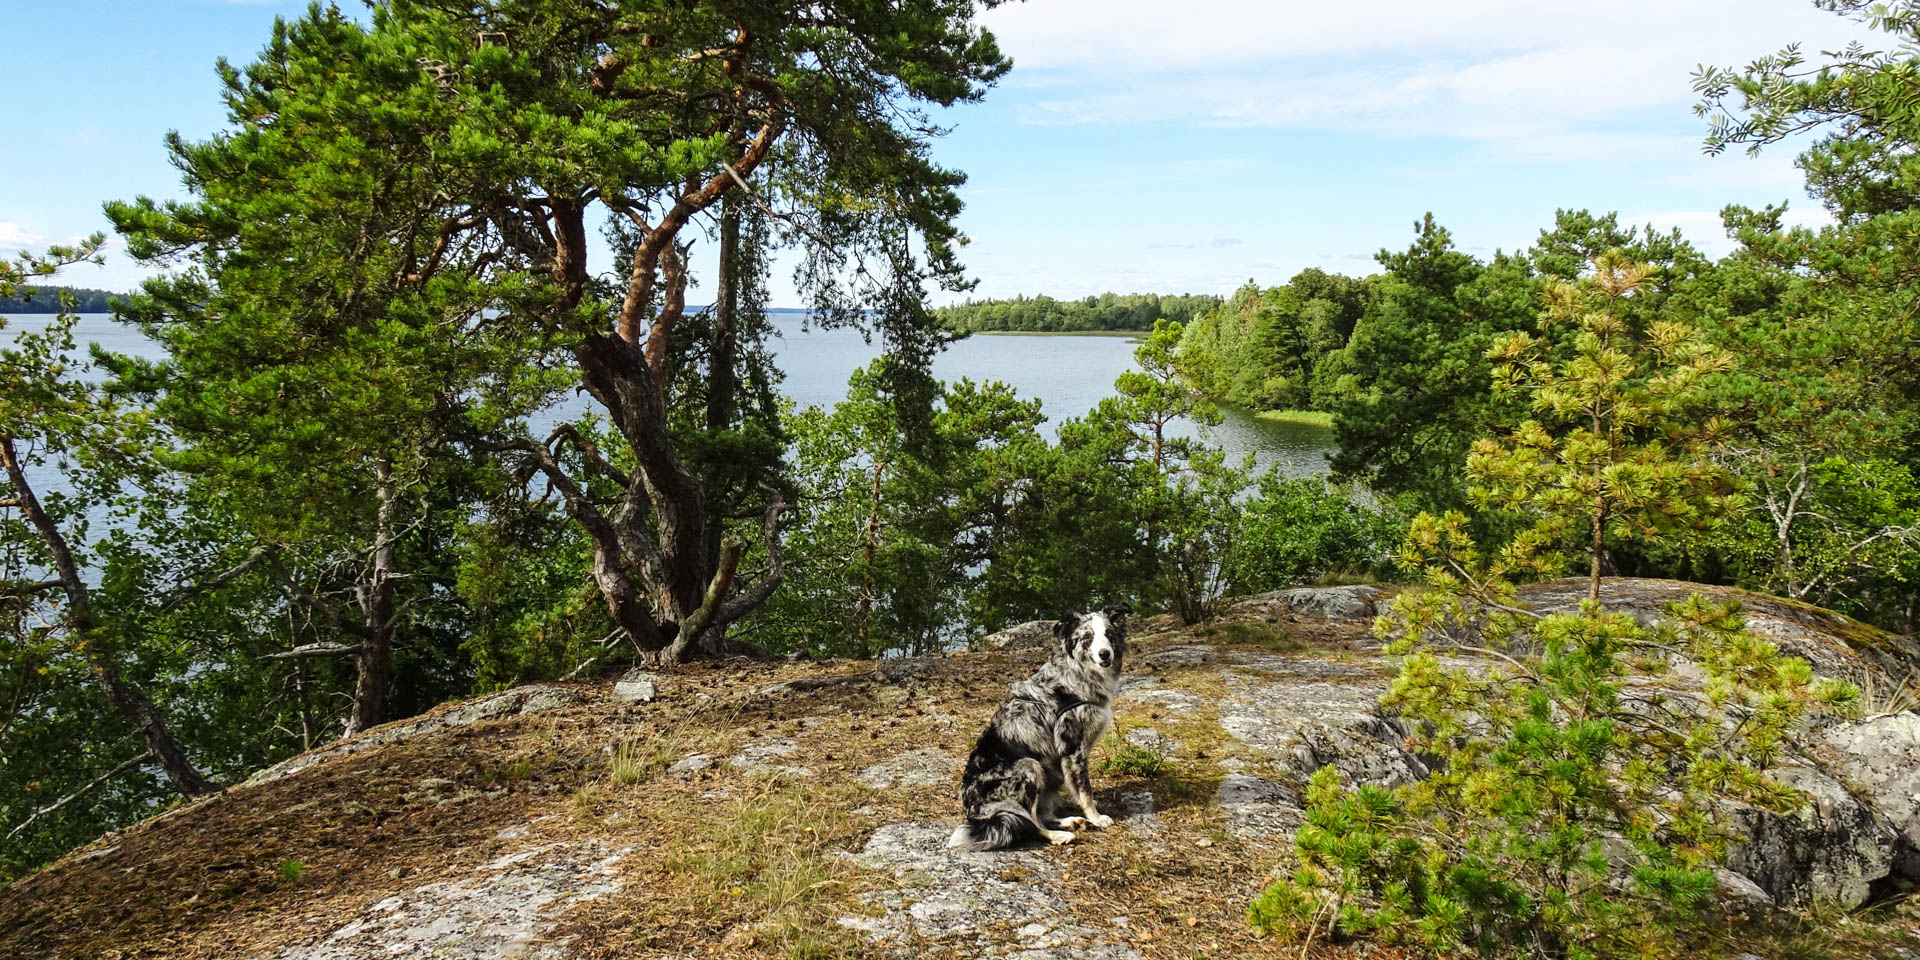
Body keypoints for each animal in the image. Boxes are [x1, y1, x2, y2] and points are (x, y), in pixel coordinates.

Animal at [952, 602, 1128, 852]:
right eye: (1087, 637)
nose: (1105, 654)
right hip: (1029, 767)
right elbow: (1084, 789)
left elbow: (1079, 788)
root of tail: (975, 812)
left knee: (1039, 815)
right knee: (1028, 822)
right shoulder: (1072, 747)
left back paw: (1067, 821)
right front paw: (1096, 817)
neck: (1076, 674)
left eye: (1109, 635)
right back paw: (1057, 835)